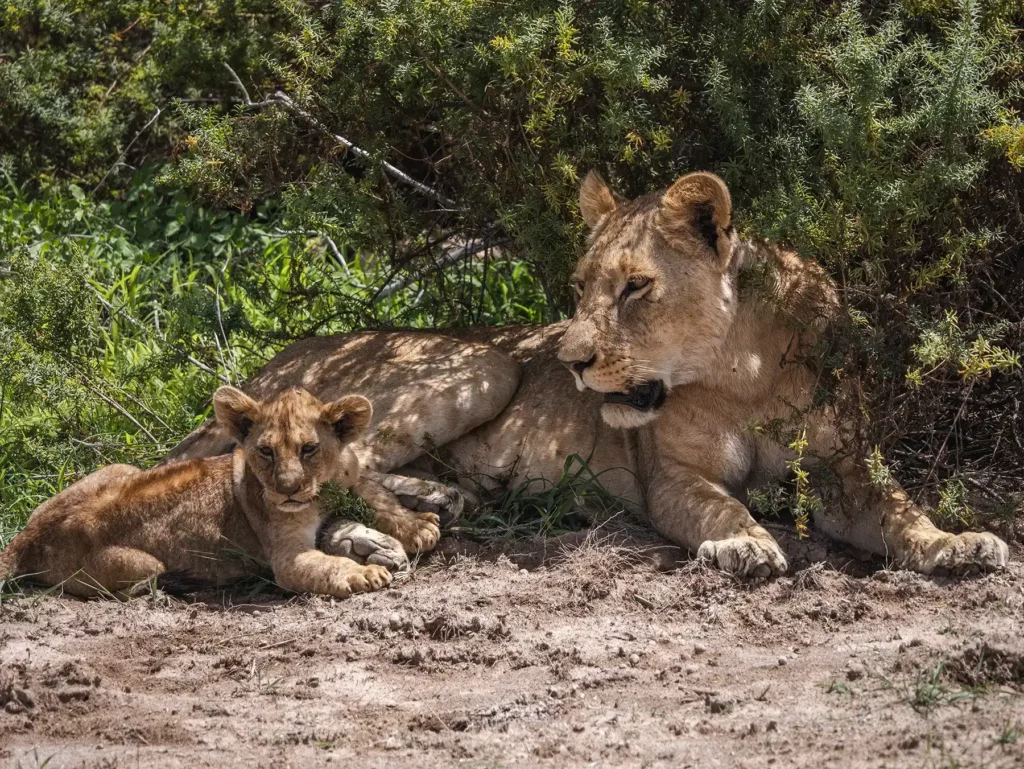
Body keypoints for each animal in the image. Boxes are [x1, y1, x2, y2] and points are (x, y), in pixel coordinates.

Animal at [0, 386, 419, 598]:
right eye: (266, 451)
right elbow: (325, 565)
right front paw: (364, 574)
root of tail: (27, 537)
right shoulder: (286, 556)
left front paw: (418, 527)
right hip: (141, 565)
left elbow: (376, 492)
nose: (286, 491)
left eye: (308, 448)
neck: (321, 489)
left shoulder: (350, 477)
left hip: (124, 469)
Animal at [164, 171, 1009, 578]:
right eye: (578, 286)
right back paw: (398, 528)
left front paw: (957, 544)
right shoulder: (670, 476)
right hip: (484, 360)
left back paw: (438, 500)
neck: (745, 371)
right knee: (331, 465)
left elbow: (902, 511)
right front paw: (744, 545)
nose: (570, 360)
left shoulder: (844, 466)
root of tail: (275, 360)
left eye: (635, 287)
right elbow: (722, 506)